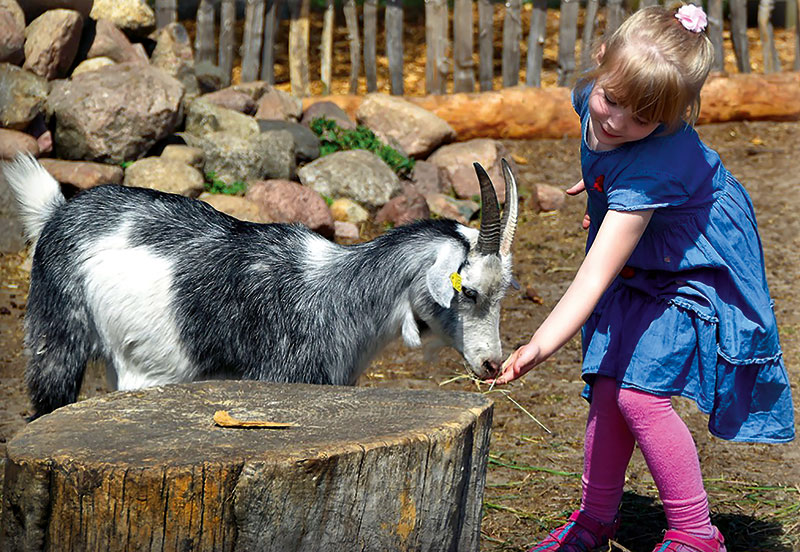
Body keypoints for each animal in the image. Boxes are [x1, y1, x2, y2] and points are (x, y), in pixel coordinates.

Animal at [4, 152, 520, 418]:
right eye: (468, 291)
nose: (492, 364)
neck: (340, 293)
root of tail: (57, 212)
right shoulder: (283, 379)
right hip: (56, 336)